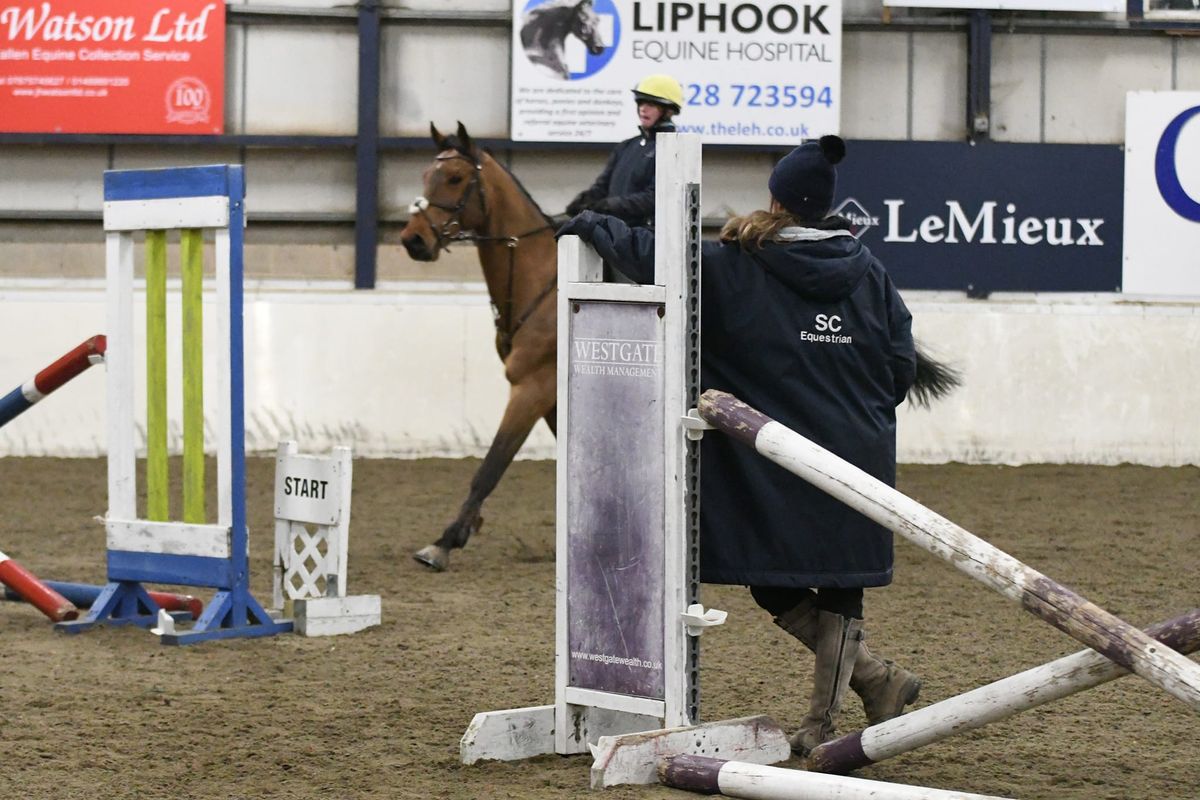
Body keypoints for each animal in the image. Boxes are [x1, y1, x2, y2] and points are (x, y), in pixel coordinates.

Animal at [405, 122, 964, 573]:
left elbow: (490, 467)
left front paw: (444, 542)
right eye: (426, 176)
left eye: (453, 179)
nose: (413, 241)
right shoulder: (553, 397)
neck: (541, 280)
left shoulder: (531, 389)